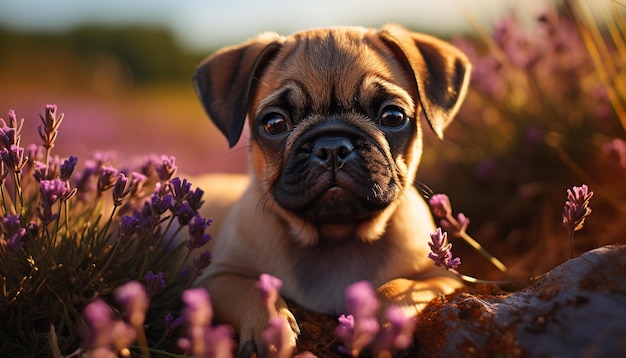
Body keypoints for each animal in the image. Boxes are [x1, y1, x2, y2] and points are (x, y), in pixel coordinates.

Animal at [191, 24, 468, 356]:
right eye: (274, 124)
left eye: (393, 117)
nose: (333, 146)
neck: (336, 237)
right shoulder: (215, 277)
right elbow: (250, 288)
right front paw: (270, 327)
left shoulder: (439, 278)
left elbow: (396, 289)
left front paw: (375, 325)